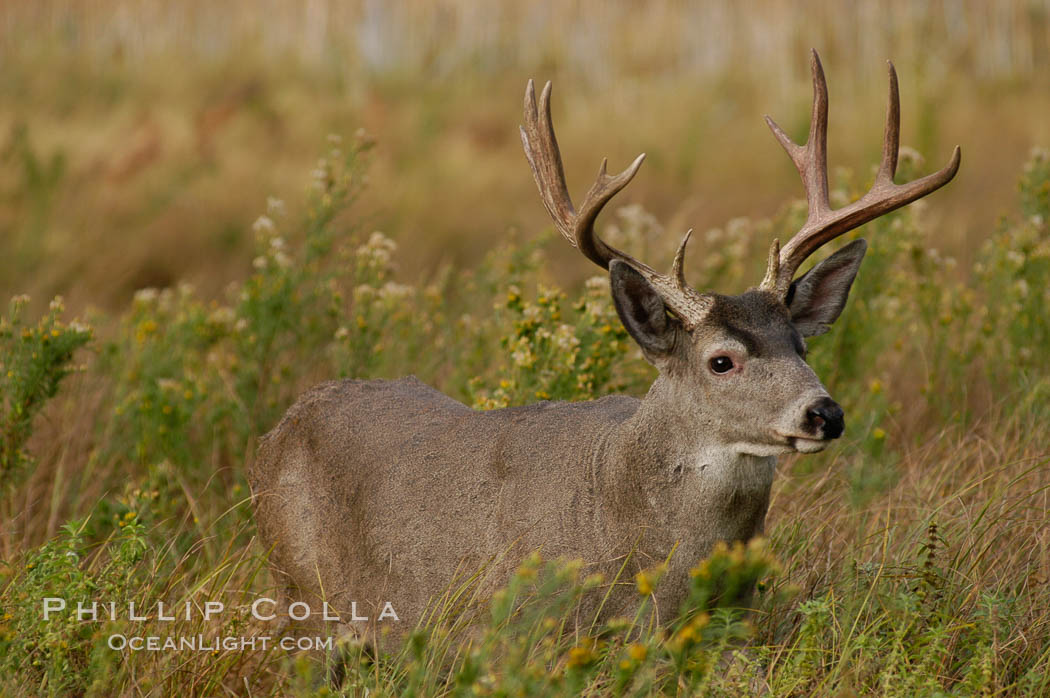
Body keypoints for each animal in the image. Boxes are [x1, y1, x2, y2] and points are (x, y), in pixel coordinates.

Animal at [249, 51, 957, 646]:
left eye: (802, 347)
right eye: (721, 360)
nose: (824, 413)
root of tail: (276, 430)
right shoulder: (514, 630)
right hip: (296, 591)